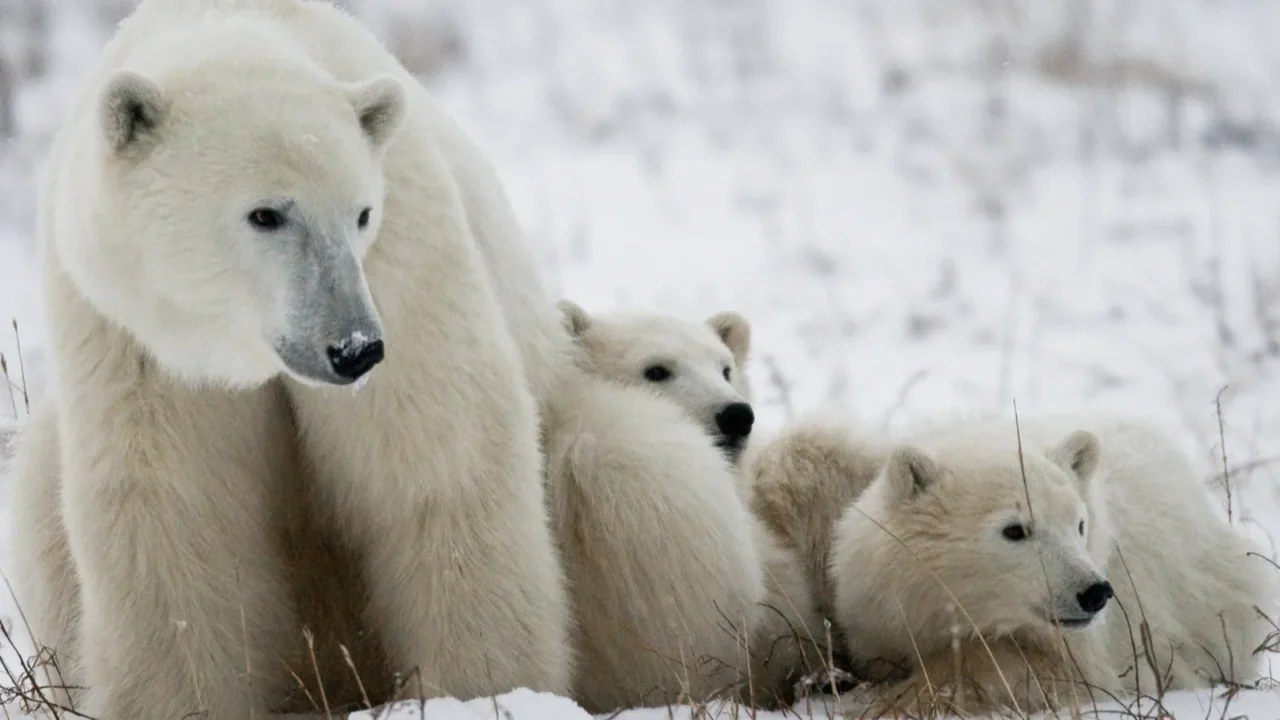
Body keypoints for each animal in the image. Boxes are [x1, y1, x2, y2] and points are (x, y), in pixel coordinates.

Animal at [11, 0, 573, 717]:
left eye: (361, 213)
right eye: (266, 214)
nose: (354, 348)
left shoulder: (403, 259)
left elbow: (436, 457)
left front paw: (487, 691)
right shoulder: (131, 337)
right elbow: (170, 511)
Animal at [827, 413, 1277, 715]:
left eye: (1079, 524)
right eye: (1015, 529)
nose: (1095, 592)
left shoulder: (1092, 645)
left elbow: (1032, 668)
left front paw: (901, 698)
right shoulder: (883, 615)